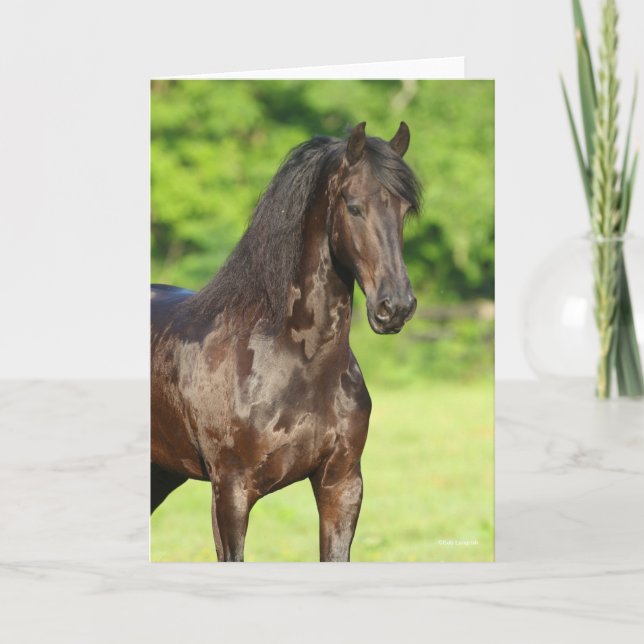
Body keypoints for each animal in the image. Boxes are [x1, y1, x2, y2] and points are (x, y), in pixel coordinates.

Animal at [151, 121, 421, 561]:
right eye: (353, 207)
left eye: (404, 210)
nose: (394, 307)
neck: (296, 360)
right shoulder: (231, 492)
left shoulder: (342, 485)